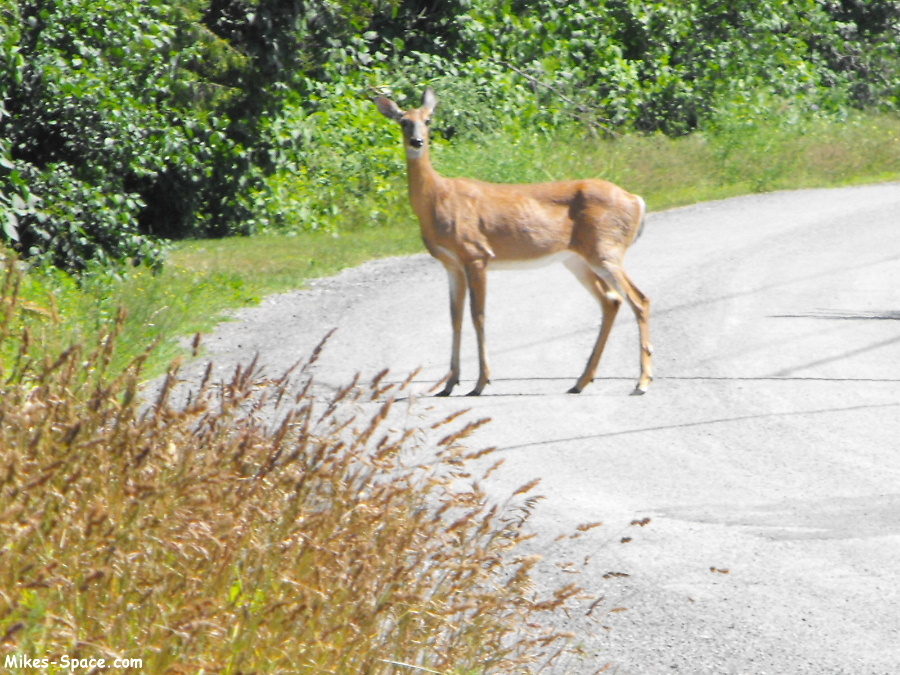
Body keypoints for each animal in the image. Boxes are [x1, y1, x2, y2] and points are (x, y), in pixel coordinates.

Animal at [374, 87, 652, 398]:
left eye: (428, 120)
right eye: (403, 122)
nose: (417, 141)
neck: (437, 198)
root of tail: (637, 200)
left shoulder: (476, 254)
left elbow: (478, 315)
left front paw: (481, 382)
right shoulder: (451, 263)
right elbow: (455, 317)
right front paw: (449, 384)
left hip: (606, 249)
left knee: (639, 299)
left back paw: (641, 382)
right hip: (577, 259)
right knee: (612, 300)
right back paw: (581, 381)